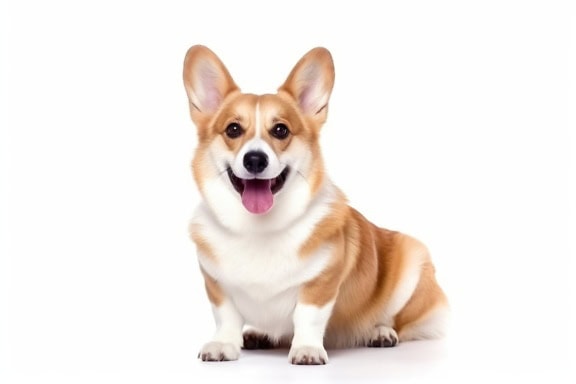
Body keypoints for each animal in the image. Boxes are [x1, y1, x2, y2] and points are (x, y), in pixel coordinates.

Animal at [182, 45, 448, 364]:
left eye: (281, 130)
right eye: (233, 129)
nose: (255, 159)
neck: (258, 228)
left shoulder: (321, 282)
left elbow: (307, 316)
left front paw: (307, 349)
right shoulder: (217, 284)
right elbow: (226, 316)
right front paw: (224, 344)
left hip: (412, 260)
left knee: (397, 321)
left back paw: (380, 331)